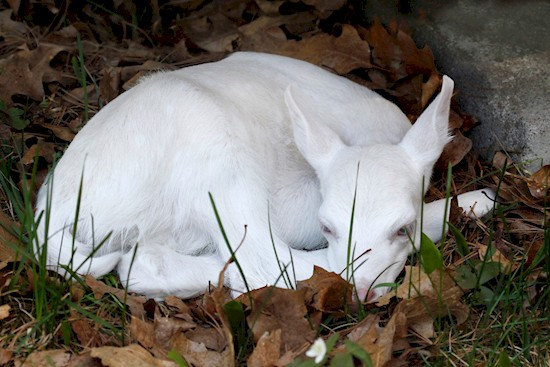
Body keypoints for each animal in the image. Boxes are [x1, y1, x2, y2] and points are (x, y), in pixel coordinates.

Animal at [34, 50, 496, 300]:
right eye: (328, 227)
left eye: (401, 227)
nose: (360, 290)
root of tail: (53, 211)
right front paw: (477, 200)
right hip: (216, 156)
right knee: (263, 257)